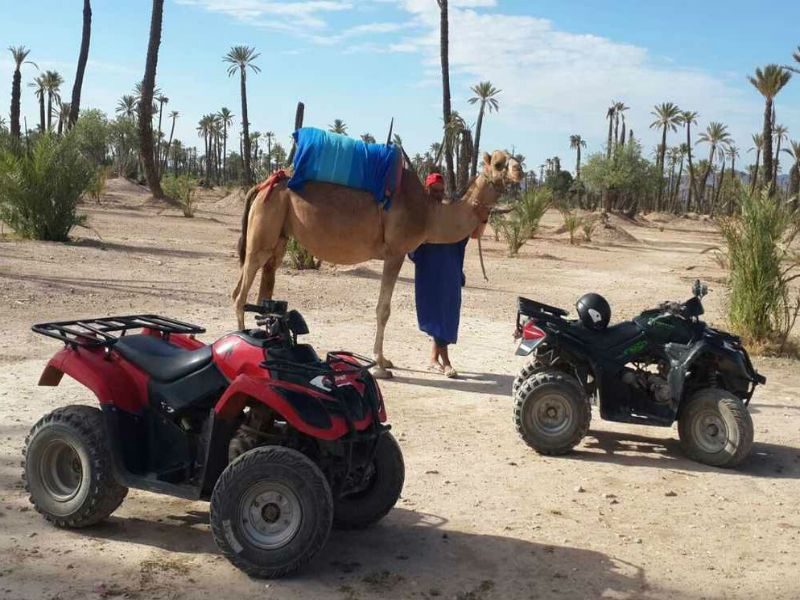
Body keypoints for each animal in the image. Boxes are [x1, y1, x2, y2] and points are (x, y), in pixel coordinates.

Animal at [233, 150, 524, 378]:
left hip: (280, 236)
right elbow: (384, 310)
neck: (429, 213)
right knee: (240, 294)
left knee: (263, 288)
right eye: (499, 163)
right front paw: (380, 366)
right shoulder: (395, 252)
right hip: (263, 231)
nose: (520, 170)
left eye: (514, 157)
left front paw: (384, 360)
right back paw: (243, 343)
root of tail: (262, 185)